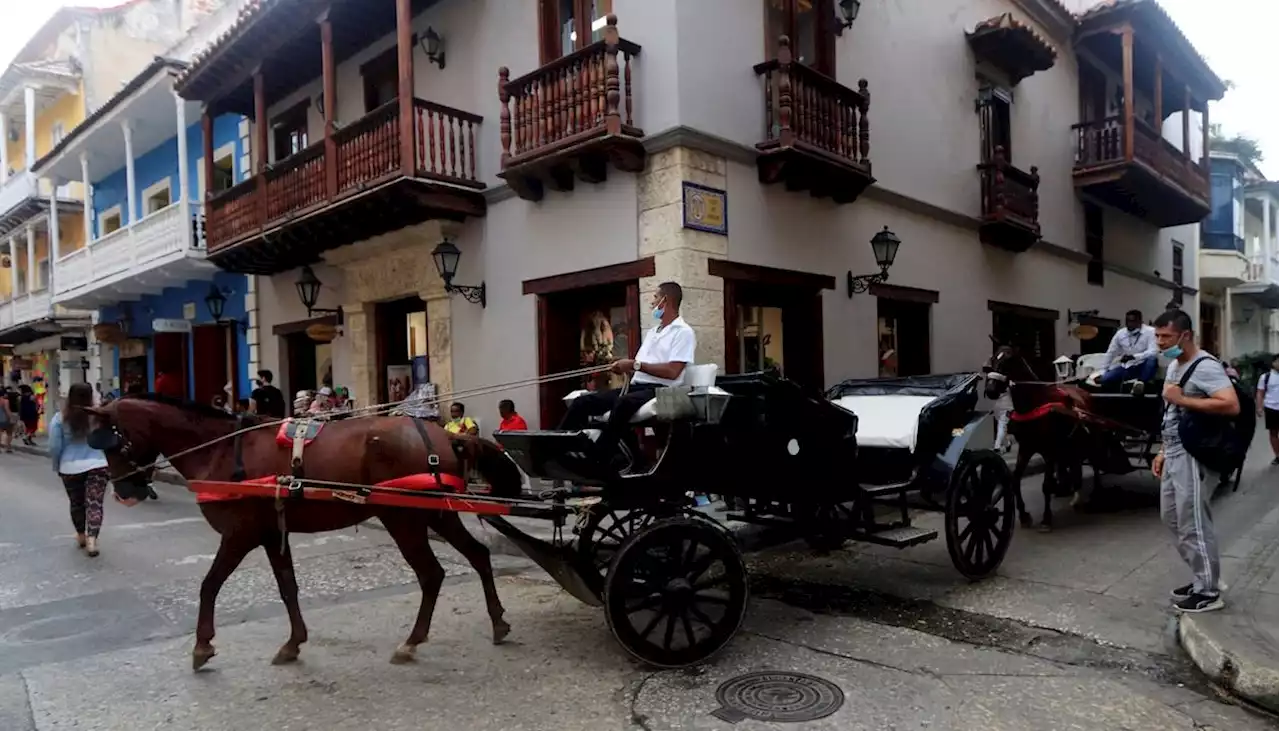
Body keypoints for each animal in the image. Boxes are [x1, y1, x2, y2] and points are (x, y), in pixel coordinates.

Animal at [86, 396, 524, 670]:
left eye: (111, 441)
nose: (123, 491)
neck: (220, 450)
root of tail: (444, 434)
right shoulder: (270, 532)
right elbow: (287, 587)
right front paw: (293, 642)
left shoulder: (239, 535)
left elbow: (209, 585)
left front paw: (202, 644)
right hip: (435, 514)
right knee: (477, 555)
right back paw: (497, 622)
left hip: (403, 518)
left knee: (432, 574)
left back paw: (412, 641)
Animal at [983, 343, 1095, 532]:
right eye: (992, 358)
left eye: (1009, 359)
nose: (990, 390)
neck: (1034, 404)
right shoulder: (1026, 448)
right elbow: (1015, 479)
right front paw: (1024, 516)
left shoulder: (1049, 451)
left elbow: (1046, 485)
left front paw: (1046, 519)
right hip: (1070, 443)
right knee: (1074, 464)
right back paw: (1073, 493)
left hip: (1085, 441)